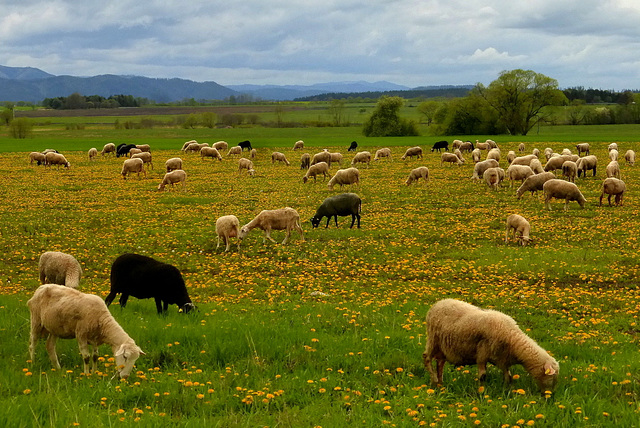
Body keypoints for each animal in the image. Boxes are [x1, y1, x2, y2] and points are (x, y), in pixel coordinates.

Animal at [424, 300, 560, 392]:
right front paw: (481, 391)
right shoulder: (482, 355)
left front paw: (506, 390)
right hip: (433, 339)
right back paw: (434, 381)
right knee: (427, 358)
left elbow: (508, 376)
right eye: (552, 377)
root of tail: (437, 304)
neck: (513, 339)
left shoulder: (503, 360)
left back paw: (441, 383)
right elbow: (482, 376)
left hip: (442, 347)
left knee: (440, 363)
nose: (549, 395)